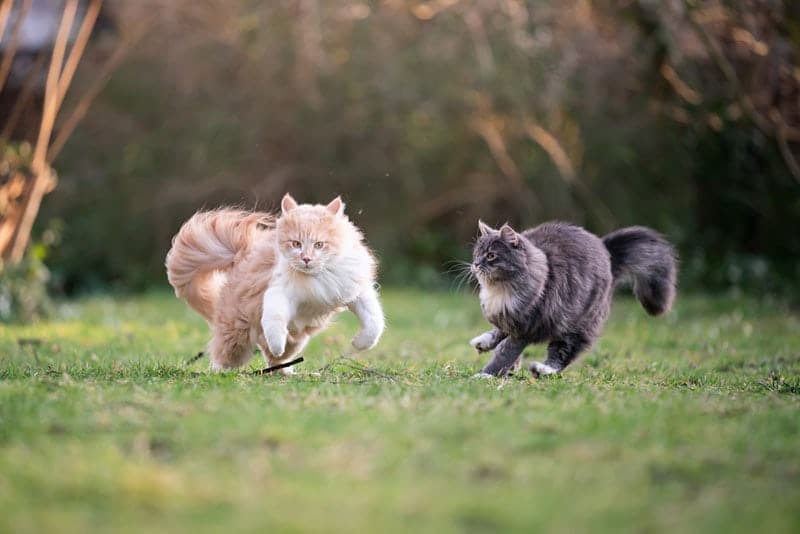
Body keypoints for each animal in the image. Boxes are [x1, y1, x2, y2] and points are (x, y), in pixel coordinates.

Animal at [165, 195, 384, 374]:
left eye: (319, 245)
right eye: (296, 244)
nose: (306, 259)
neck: (317, 276)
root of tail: (242, 254)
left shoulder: (357, 292)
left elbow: (374, 322)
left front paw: (359, 343)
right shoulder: (279, 293)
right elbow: (275, 321)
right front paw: (277, 343)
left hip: (296, 341)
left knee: (275, 360)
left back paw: (287, 372)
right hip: (237, 335)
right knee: (223, 355)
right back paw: (220, 372)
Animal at [466, 220, 680, 378]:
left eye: (491, 255)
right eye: (476, 254)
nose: (475, 264)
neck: (499, 290)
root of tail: (607, 252)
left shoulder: (525, 330)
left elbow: (504, 352)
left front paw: (487, 374)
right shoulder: (507, 318)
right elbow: (499, 332)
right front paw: (485, 342)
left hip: (575, 326)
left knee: (561, 356)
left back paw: (542, 369)